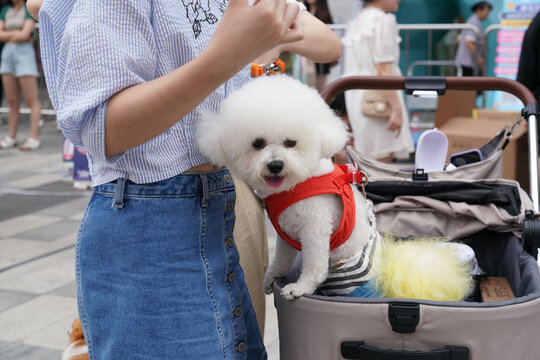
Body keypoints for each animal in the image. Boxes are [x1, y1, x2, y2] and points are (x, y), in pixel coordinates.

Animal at [195, 74, 380, 300]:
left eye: (291, 142)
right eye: (258, 143)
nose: (275, 165)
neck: (296, 184)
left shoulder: (315, 228)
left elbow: (314, 267)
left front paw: (300, 287)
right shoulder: (285, 235)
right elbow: (281, 261)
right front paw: (270, 278)